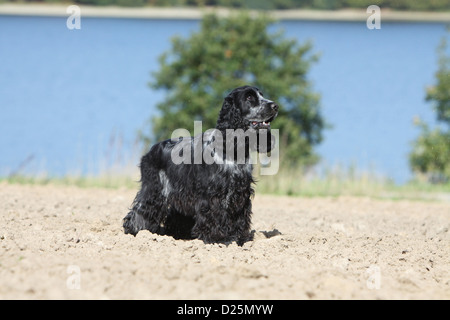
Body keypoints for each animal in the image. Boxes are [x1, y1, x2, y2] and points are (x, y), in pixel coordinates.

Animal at [123, 85, 278, 245]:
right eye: (249, 97)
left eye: (261, 95)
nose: (275, 106)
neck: (232, 150)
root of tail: (151, 150)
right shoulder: (212, 195)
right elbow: (213, 216)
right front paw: (217, 239)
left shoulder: (240, 193)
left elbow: (239, 217)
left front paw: (241, 239)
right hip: (154, 189)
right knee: (140, 211)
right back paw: (136, 232)